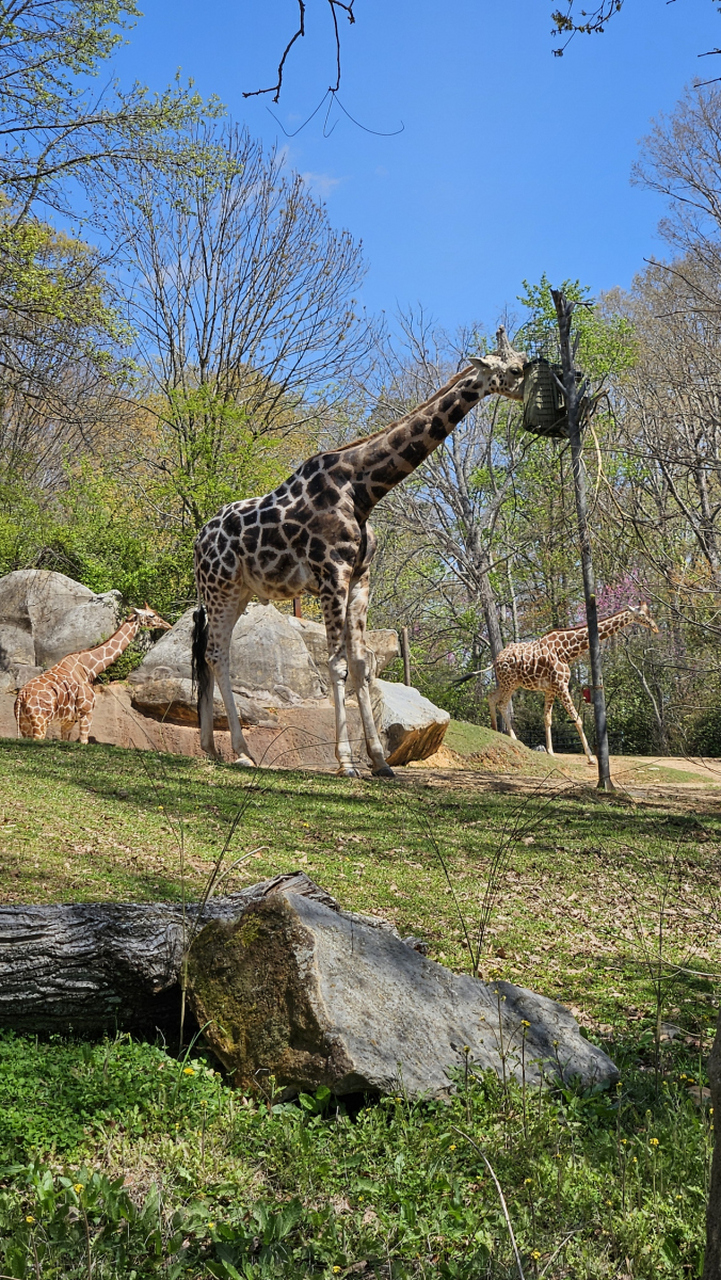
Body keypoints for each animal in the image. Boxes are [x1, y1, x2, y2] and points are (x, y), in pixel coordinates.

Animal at [14, 606, 172, 747]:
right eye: (151, 615)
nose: (168, 625)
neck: (89, 669)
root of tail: (21, 696)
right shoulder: (86, 712)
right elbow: (84, 742)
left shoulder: (69, 720)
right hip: (40, 721)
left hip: (24, 724)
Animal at [194, 325, 527, 773]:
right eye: (516, 369)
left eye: (525, 362)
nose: (534, 390)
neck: (364, 489)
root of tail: (198, 541)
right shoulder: (332, 575)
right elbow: (335, 665)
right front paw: (347, 762)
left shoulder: (360, 580)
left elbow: (360, 663)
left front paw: (380, 761)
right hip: (221, 588)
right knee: (216, 654)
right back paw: (242, 752)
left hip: (240, 591)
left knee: (214, 654)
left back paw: (214, 748)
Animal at [489, 604, 660, 762]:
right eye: (642, 614)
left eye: (650, 612)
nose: (655, 627)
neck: (566, 651)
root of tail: (496, 660)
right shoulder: (561, 685)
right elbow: (577, 719)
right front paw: (591, 757)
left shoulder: (550, 689)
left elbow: (547, 718)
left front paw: (550, 752)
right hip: (510, 683)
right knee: (502, 704)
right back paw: (513, 738)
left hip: (507, 683)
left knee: (491, 698)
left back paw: (494, 729)